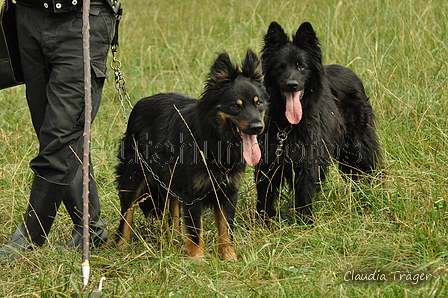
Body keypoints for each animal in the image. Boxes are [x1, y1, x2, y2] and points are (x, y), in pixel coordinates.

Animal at [114, 49, 266, 260]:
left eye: (258, 104)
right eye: (236, 106)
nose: (258, 127)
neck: (213, 140)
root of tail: (138, 105)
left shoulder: (228, 192)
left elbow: (226, 230)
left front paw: (229, 258)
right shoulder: (193, 194)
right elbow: (195, 230)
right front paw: (198, 259)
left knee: (173, 214)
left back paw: (173, 240)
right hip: (134, 178)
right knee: (126, 213)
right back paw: (122, 247)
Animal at [256, 21, 382, 221]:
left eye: (301, 66)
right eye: (280, 68)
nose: (292, 84)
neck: (287, 124)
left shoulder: (307, 160)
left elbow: (304, 194)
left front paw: (304, 222)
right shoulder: (268, 161)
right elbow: (264, 197)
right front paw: (263, 223)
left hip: (358, 145)